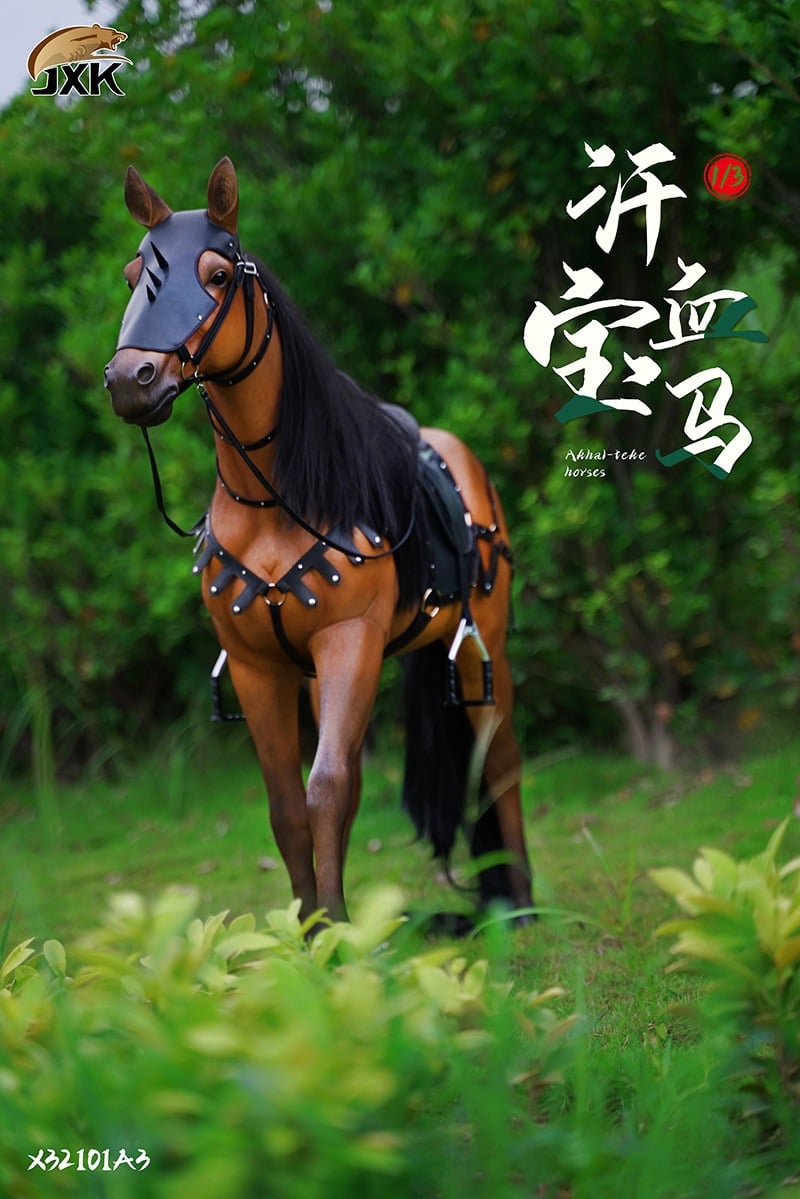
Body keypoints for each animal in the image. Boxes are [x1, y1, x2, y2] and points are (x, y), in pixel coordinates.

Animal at [104, 157, 534, 927]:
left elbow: (325, 788)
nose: (131, 380)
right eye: (132, 277)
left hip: (483, 644)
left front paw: (333, 933)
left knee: (499, 760)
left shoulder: (348, 640)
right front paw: (311, 928)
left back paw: (518, 904)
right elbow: (289, 806)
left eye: (217, 274)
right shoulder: (261, 667)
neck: (276, 501)